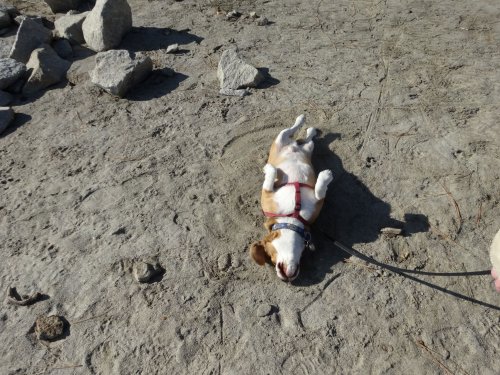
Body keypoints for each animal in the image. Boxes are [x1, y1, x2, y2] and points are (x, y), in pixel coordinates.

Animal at [249, 114, 332, 282]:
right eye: (270, 258)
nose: (284, 278)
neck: (292, 217)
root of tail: (294, 146)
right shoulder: (268, 192)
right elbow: (320, 190)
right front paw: (326, 176)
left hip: (285, 140)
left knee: (296, 132)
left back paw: (304, 122)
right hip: (297, 144)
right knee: (304, 138)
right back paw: (308, 128)